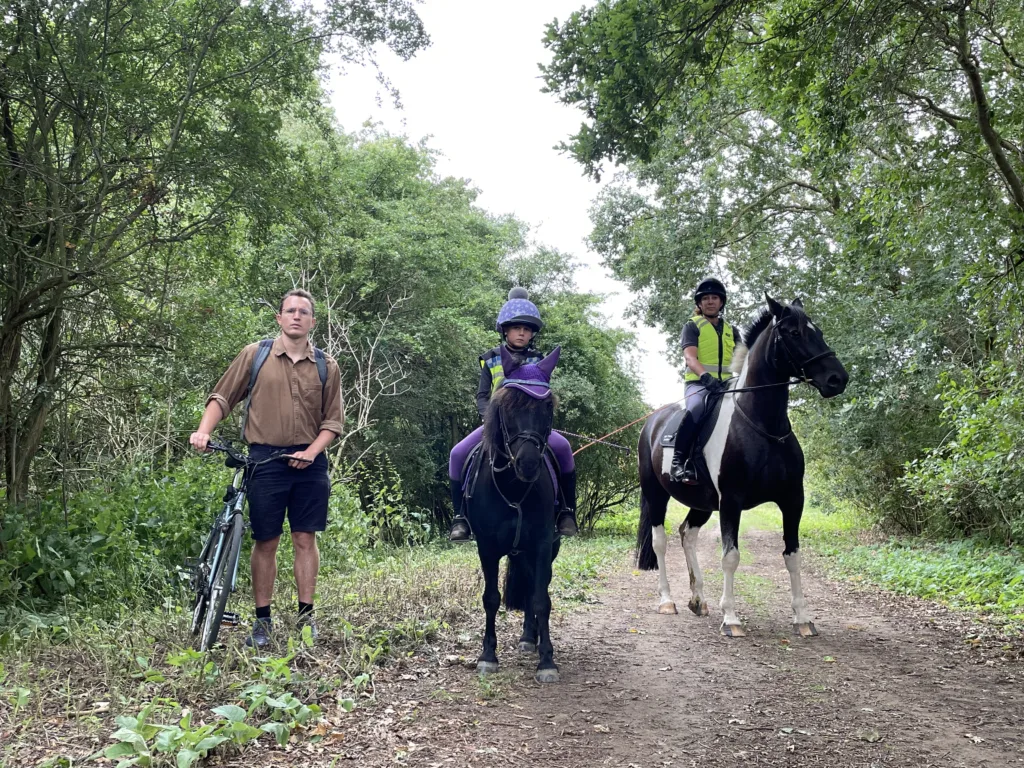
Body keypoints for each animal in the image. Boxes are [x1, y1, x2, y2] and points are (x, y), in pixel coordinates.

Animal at [468, 346, 565, 684]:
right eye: (507, 406)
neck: (513, 488)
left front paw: (547, 661)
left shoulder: (542, 545)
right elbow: (491, 598)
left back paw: (530, 638)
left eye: (547, 407)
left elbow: (540, 599)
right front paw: (487, 656)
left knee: (536, 587)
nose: (529, 463)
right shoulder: (487, 547)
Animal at [638, 294, 847, 638]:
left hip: (702, 502)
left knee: (687, 534)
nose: (837, 379)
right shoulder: (732, 502)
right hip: (656, 494)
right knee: (660, 542)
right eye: (794, 332)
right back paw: (667, 601)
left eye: (817, 330)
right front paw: (731, 619)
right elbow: (731, 557)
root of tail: (651, 423)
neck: (763, 425)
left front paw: (803, 618)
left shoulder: (793, 500)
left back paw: (698, 600)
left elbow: (793, 557)